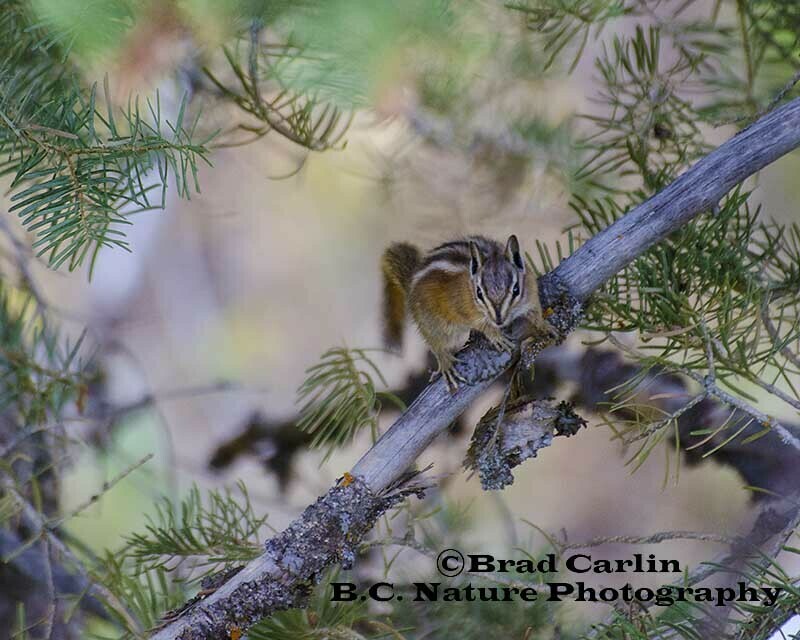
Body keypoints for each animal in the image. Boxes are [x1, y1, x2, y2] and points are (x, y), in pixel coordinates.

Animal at [381, 234, 555, 390]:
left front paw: (546, 326)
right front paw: (496, 336)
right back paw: (445, 363)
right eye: (479, 293)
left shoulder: (531, 294)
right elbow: (482, 325)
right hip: (433, 322)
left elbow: (535, 313)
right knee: (435, 342)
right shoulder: (467, 311)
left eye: (516, 289)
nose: (498, 320)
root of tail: (410, 283)